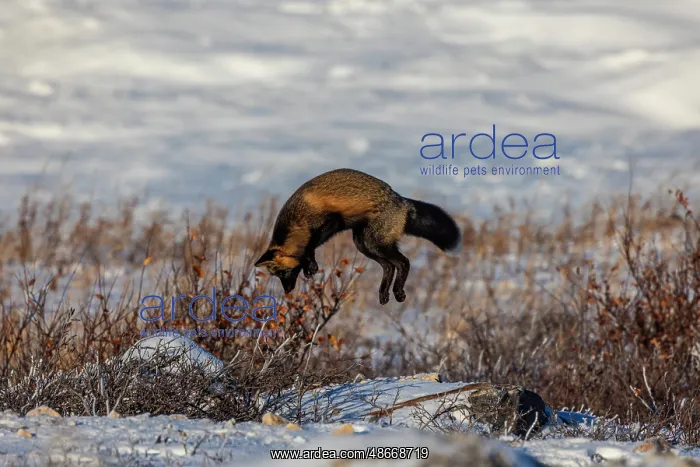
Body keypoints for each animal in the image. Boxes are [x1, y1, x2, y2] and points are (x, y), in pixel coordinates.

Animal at [254, 168, 462, 305]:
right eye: (276, 276)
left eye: (282, 273)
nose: (288, 291)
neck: (298, 222)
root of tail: (402, 202)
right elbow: (308, 250)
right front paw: (309, 266)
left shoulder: (332, 222)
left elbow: (311, 245)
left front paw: (310, 265)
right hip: (363, 244)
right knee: (389, 267)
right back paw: (384, 294)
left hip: (373, 243)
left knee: (403, 262)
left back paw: (398, 292)